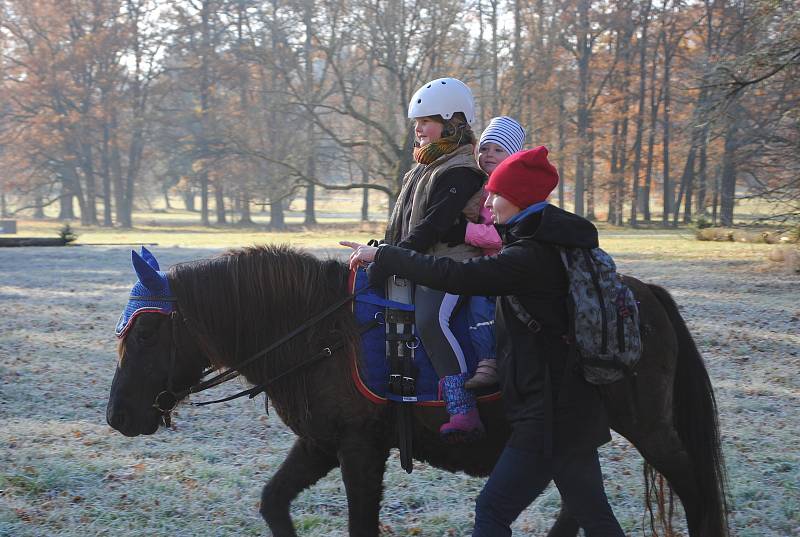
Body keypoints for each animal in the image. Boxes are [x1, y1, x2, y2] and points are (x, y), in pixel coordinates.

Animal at [108, 244, 732, 536]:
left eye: (146, 332)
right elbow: (273, 502)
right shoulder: (319, 445)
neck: (318, 332)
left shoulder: (360, 449)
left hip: (649, 427)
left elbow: (360, 523)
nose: (117, 416)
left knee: (694, 485)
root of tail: (645, 293)